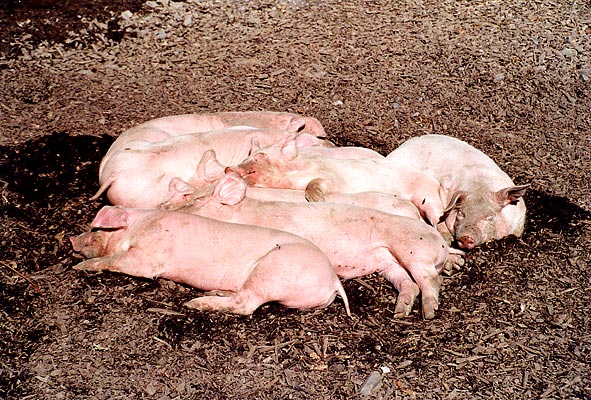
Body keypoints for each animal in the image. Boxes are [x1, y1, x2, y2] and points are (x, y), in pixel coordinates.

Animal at [70, 206, 350, 316]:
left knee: (245, 304)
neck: (140, 226)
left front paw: (79, 267)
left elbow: (116, 259)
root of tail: (333, 280)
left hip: (273, 270)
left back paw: (194, 304)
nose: (72, 240)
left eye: (97, 229)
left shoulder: (148, 259)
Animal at [170, 169, 462, 319]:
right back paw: (400, 312)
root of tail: (439, 242)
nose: (166, 210)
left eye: (195, 201)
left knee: (430, 280)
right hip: (387, 261)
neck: (244, 212)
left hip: (413, 250)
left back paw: (429, 312)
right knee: (408, 284)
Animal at [233, 133, 447, 227]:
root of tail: (436, 184)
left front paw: (318, 200)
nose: (231, 168)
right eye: (247, 156)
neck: (292, 178)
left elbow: (316, 183)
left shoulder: (332, 177)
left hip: (427, 194)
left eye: (260, 156)